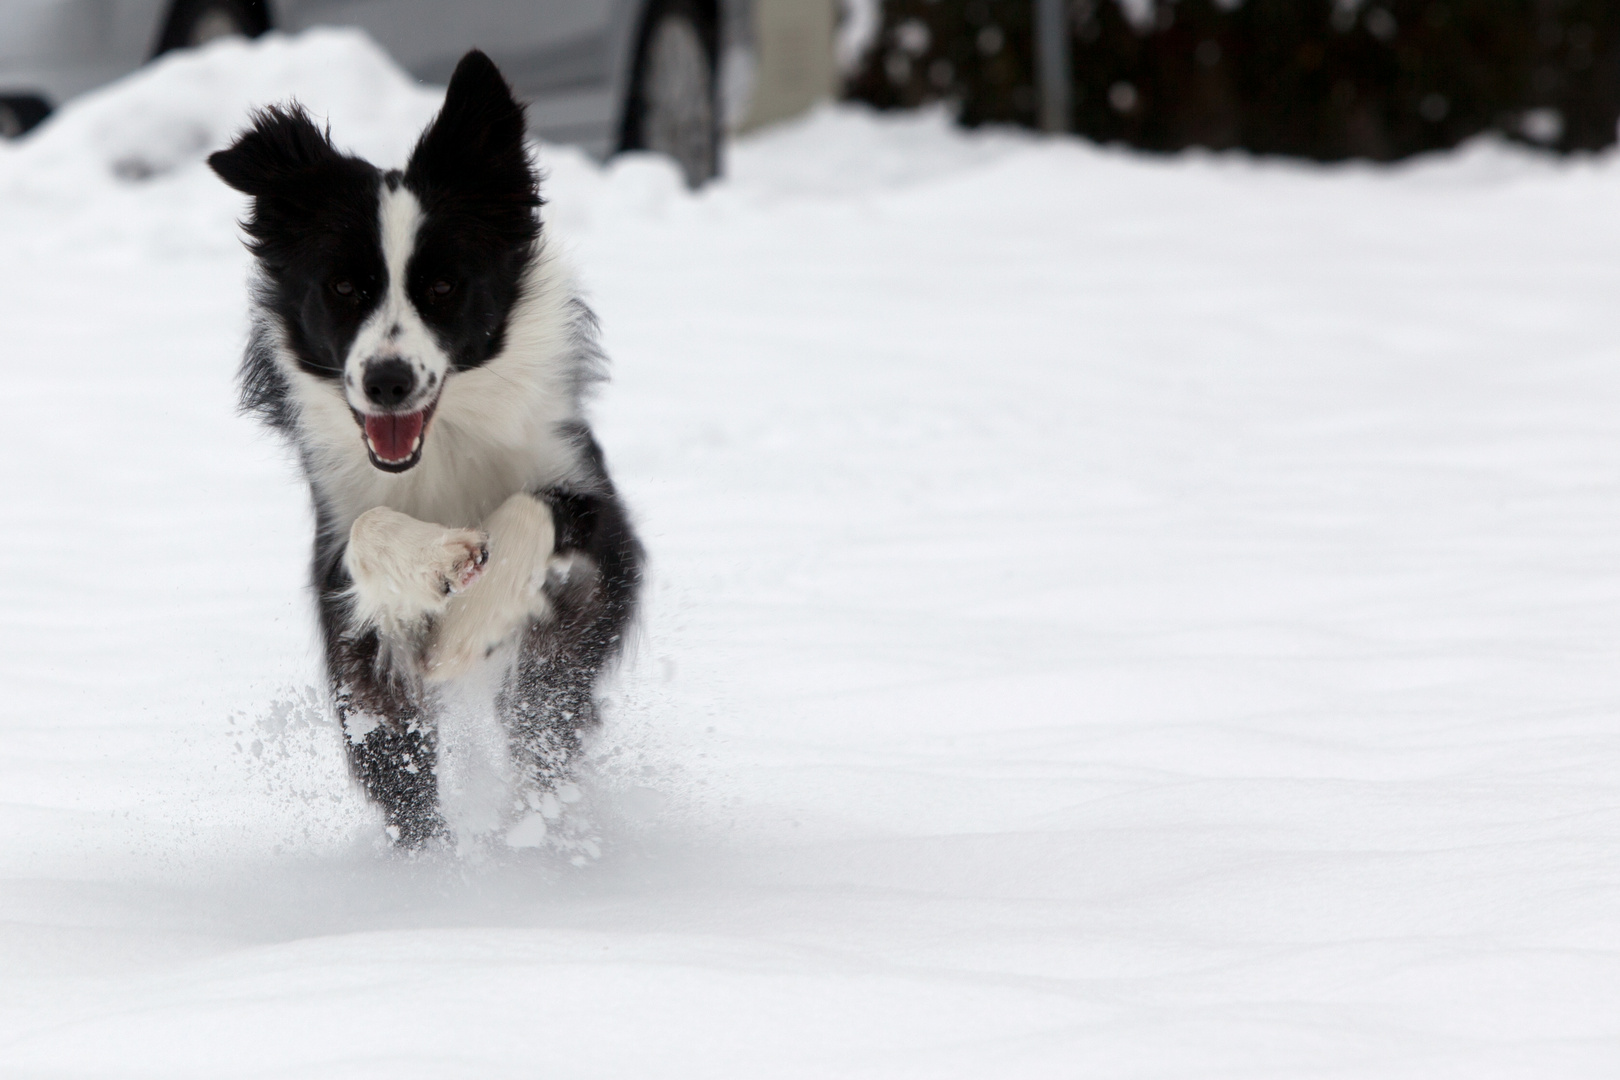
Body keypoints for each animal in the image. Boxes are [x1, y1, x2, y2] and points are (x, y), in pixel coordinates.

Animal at [212, 48, 641, 841]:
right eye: (342, 288)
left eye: (442, 287)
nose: (387, 381)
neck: (443, 443)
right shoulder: (341, 572)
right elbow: (368, 535)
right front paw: (440, 562)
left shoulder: (601, 519)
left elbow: (532, 511)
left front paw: (470, 623)